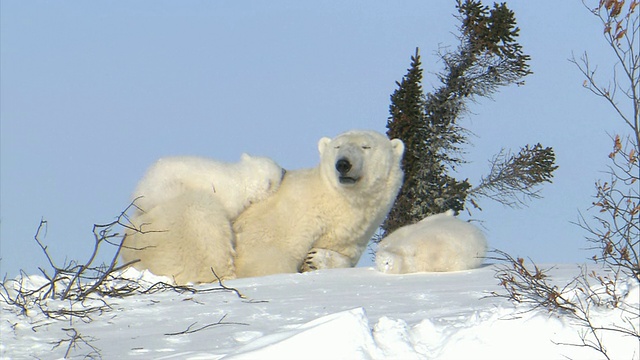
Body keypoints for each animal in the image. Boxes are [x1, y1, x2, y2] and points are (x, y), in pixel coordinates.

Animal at [234, 130, 404, 278]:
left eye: (366, 146)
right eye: (337, 146)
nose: (343, 164)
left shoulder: (348, 239)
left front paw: (316, 259)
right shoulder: (279, 224)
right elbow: (264, 261)